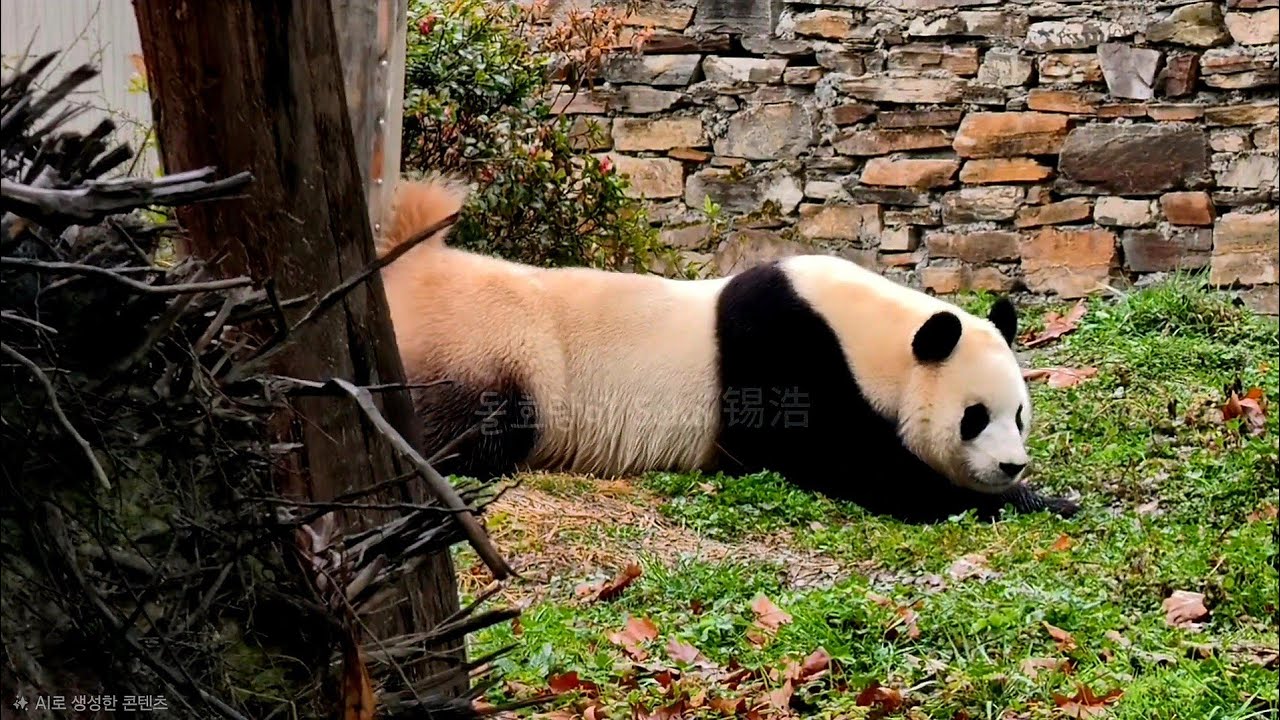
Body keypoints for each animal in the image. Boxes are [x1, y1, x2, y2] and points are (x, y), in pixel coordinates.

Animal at [377, 177, 1079, 523]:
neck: (872, 333)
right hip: (492, 351)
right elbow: (858, 466)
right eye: (974, 418)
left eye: (1020, 415)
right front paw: (1013, 500)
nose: (1011, 465)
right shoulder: (788, 359)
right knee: (470, 427)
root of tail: (410, 273)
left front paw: (1043, 496)